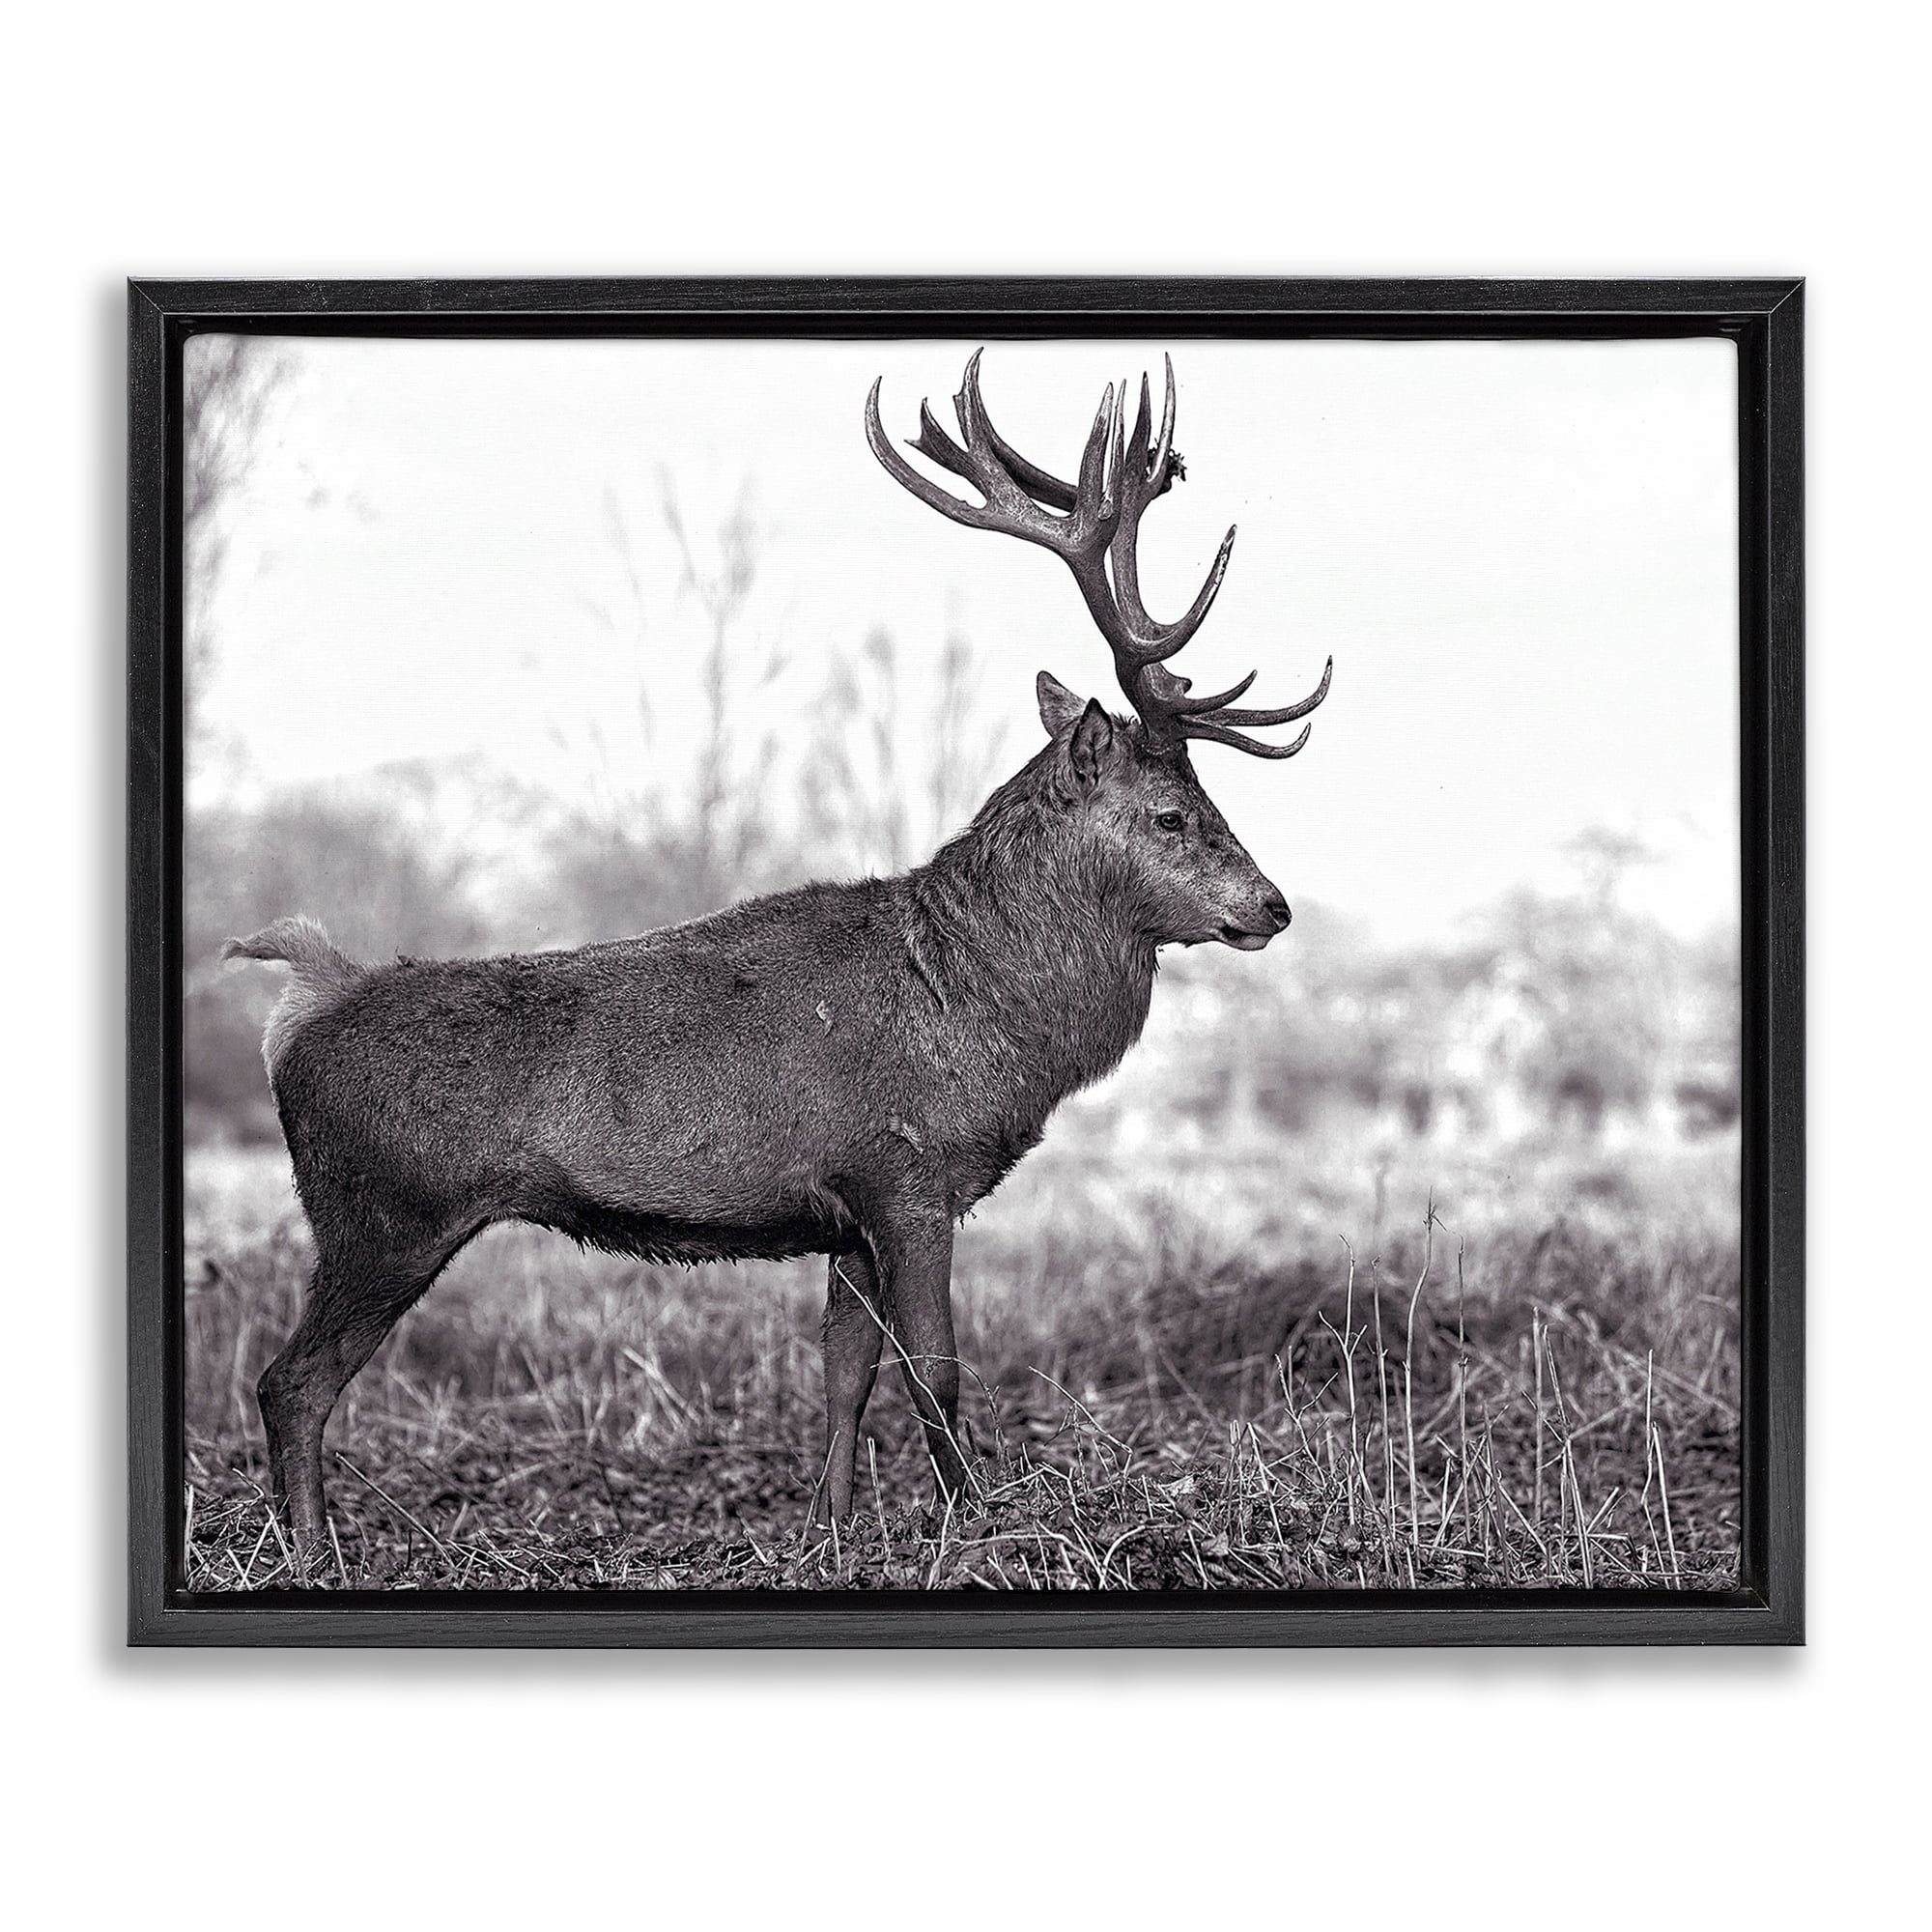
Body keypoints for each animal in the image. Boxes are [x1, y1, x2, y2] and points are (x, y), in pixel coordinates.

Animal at [225, 349, 1331, 1568]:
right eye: (1173, 814)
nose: (1272, 907)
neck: (984, 1011)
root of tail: (299, 1005)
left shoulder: (843, 1211)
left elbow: (844, 1374)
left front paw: (833, 1533)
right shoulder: (907, 1172)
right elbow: (934, 1370)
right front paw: (978, 1525)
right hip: (382, 1213)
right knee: (288, 1381)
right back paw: (311, 1549)